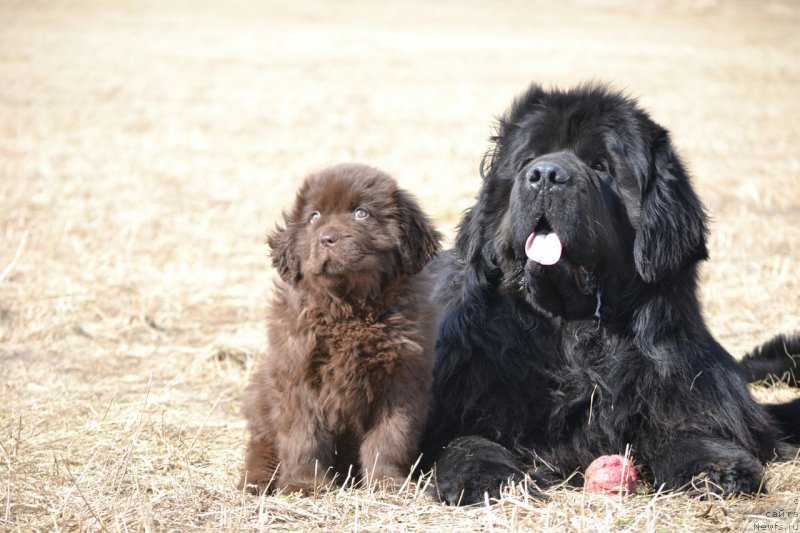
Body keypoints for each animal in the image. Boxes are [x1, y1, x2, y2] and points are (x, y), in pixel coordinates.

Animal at [241, 163, 440, 494]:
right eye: (313, 217)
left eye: (361, 213)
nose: (327, 239)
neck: (349, 310)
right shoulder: (297, 374)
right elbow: (303, 435)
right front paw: (304, 484)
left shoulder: (402, 378)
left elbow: (390, 437)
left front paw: (386, 483)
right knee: (261, 449)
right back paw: (257, 481)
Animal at [422, 83, 796, 502]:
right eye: (527, 161)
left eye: (601, 166)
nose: (545, 174)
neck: (573, 336)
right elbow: (466, 441)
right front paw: (486, 478)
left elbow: (683, 426)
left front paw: (717, 466)